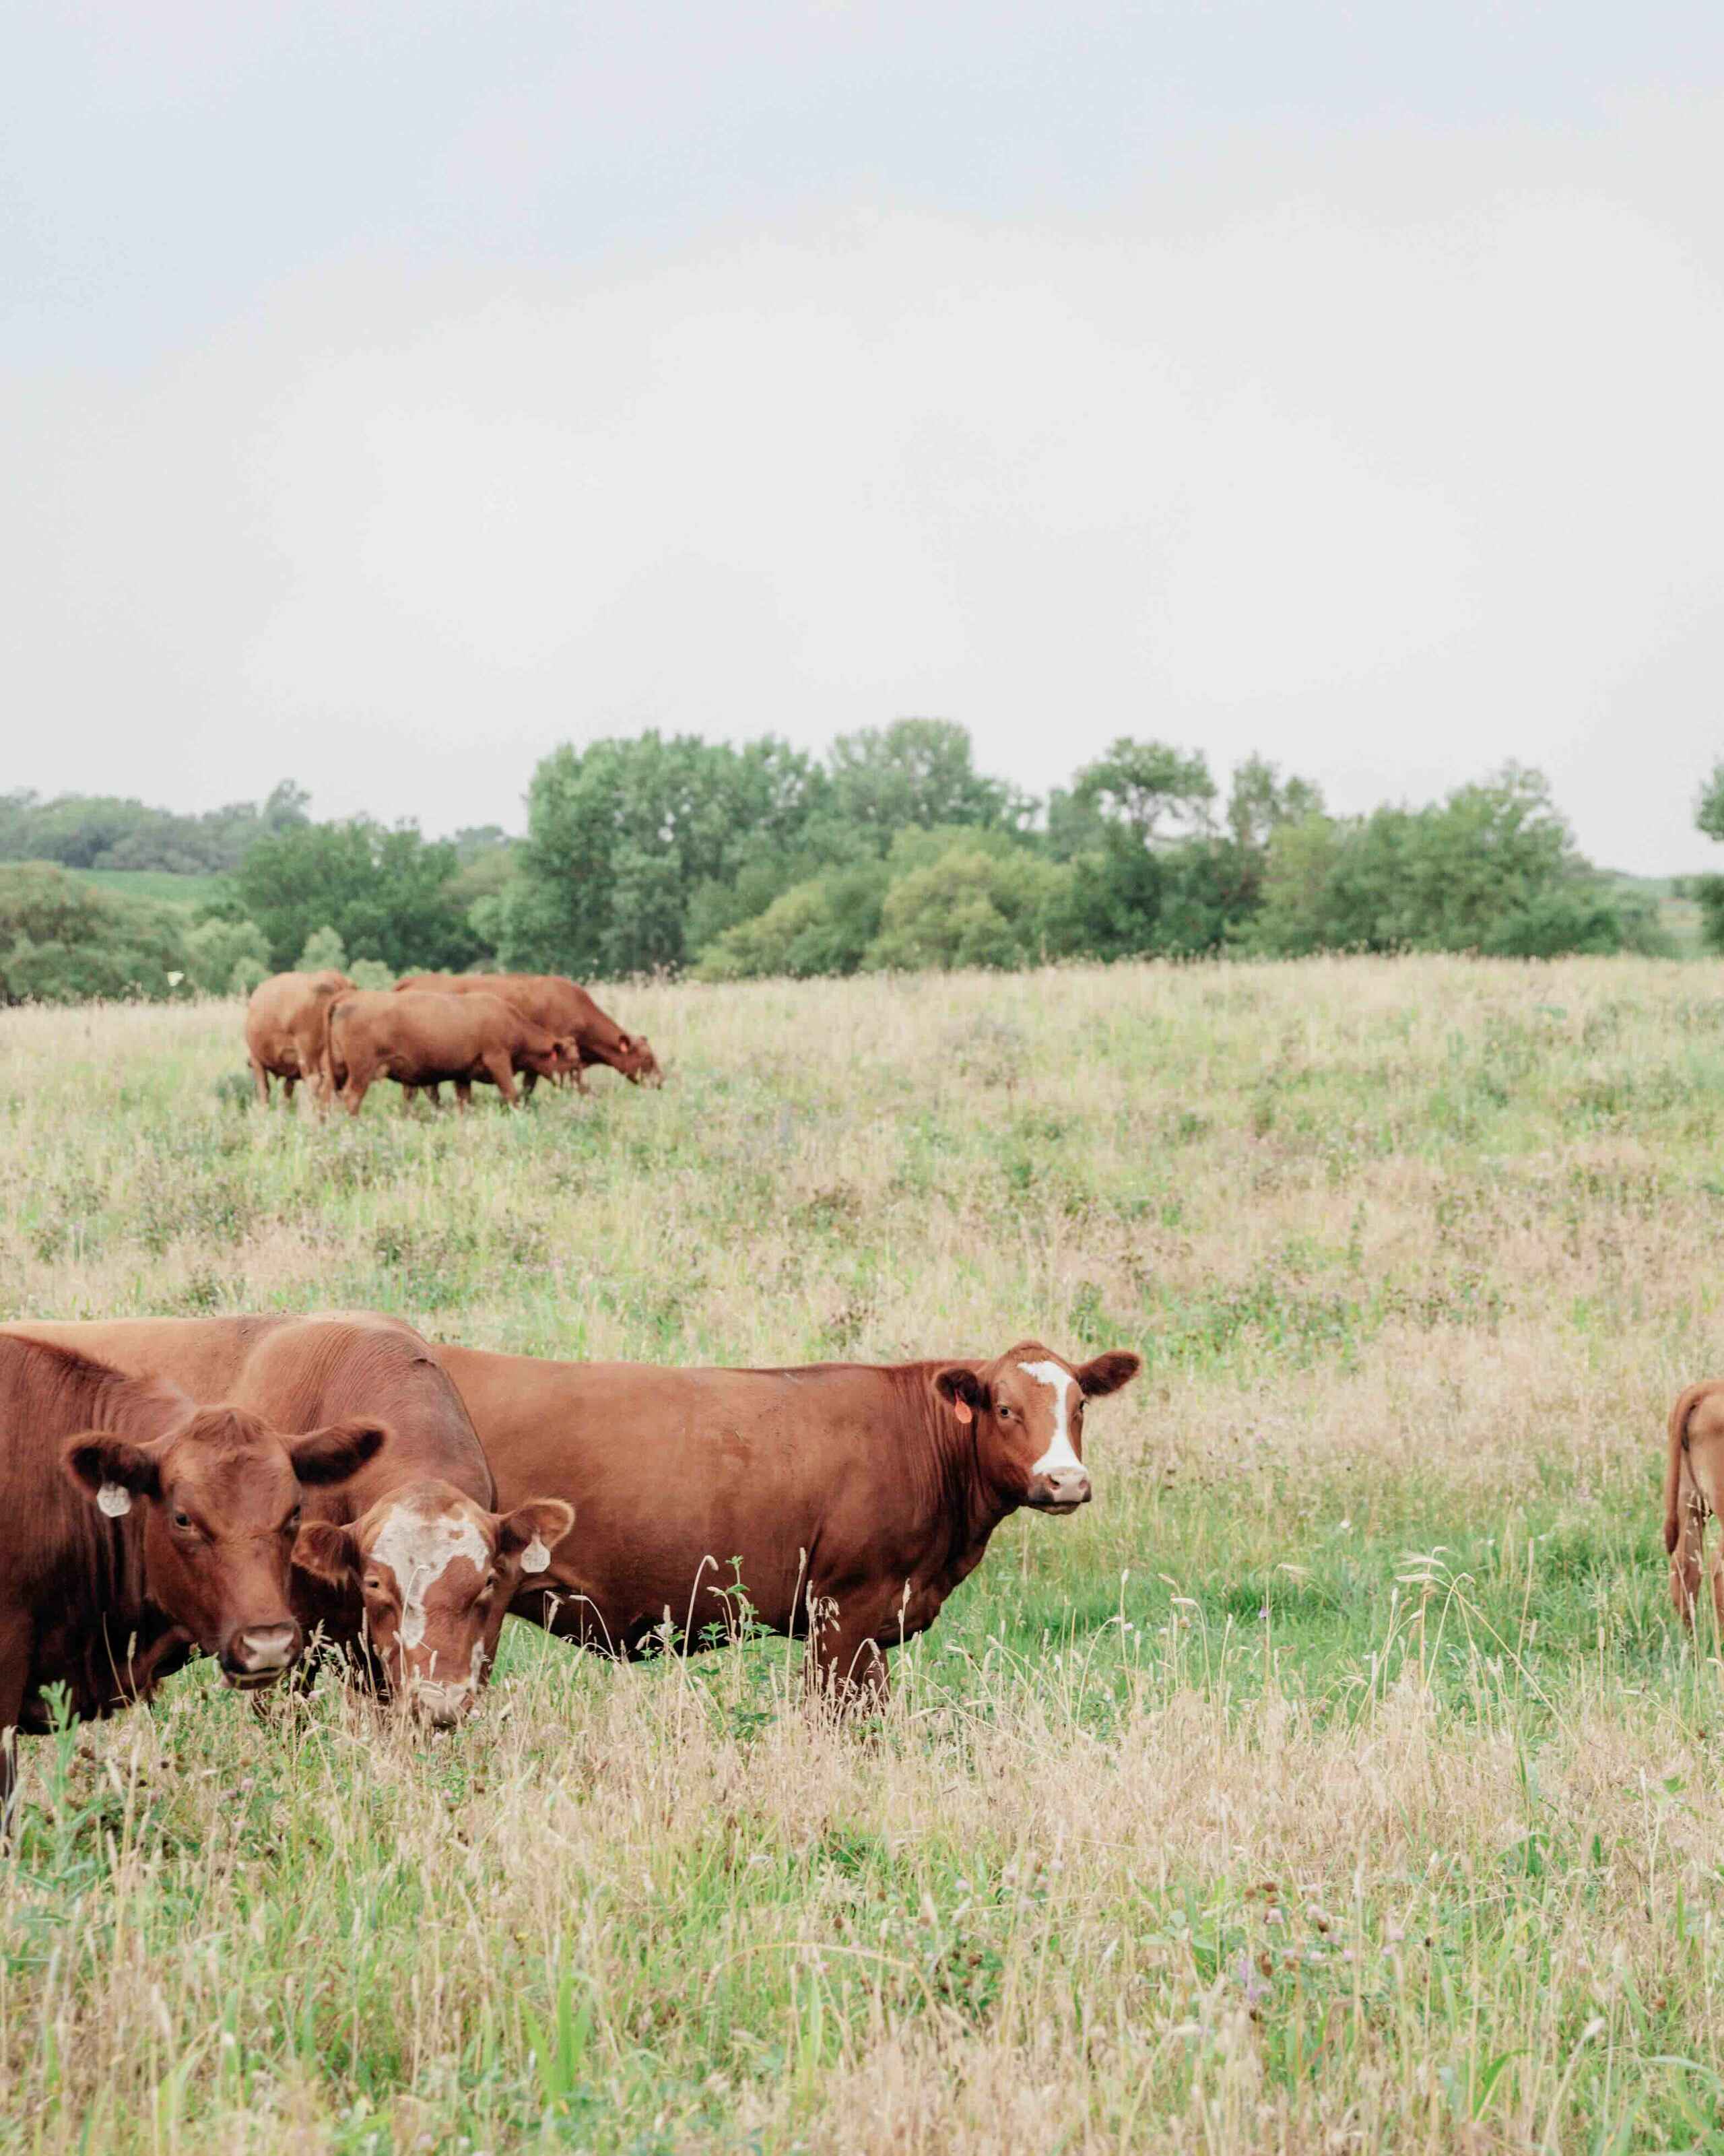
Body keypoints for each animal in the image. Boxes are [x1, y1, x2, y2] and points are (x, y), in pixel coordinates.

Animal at [244, 970, 354, 1107]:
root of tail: (334, 979)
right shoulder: (291, 1072)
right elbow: (286, 1093)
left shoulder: (257, 1061)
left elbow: (264, 1091)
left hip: (307, 1055)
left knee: (315, 1083)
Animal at [323, 990, 580, 1116]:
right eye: (574, 1059)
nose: (577, 1086)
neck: (510, 1020)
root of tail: (348, 998)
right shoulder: (498, 1060)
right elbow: (511, 1094)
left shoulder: (463, 1076)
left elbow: (464, 1103)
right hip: (361, 1072)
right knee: (351, 1099)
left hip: (339, 1071)